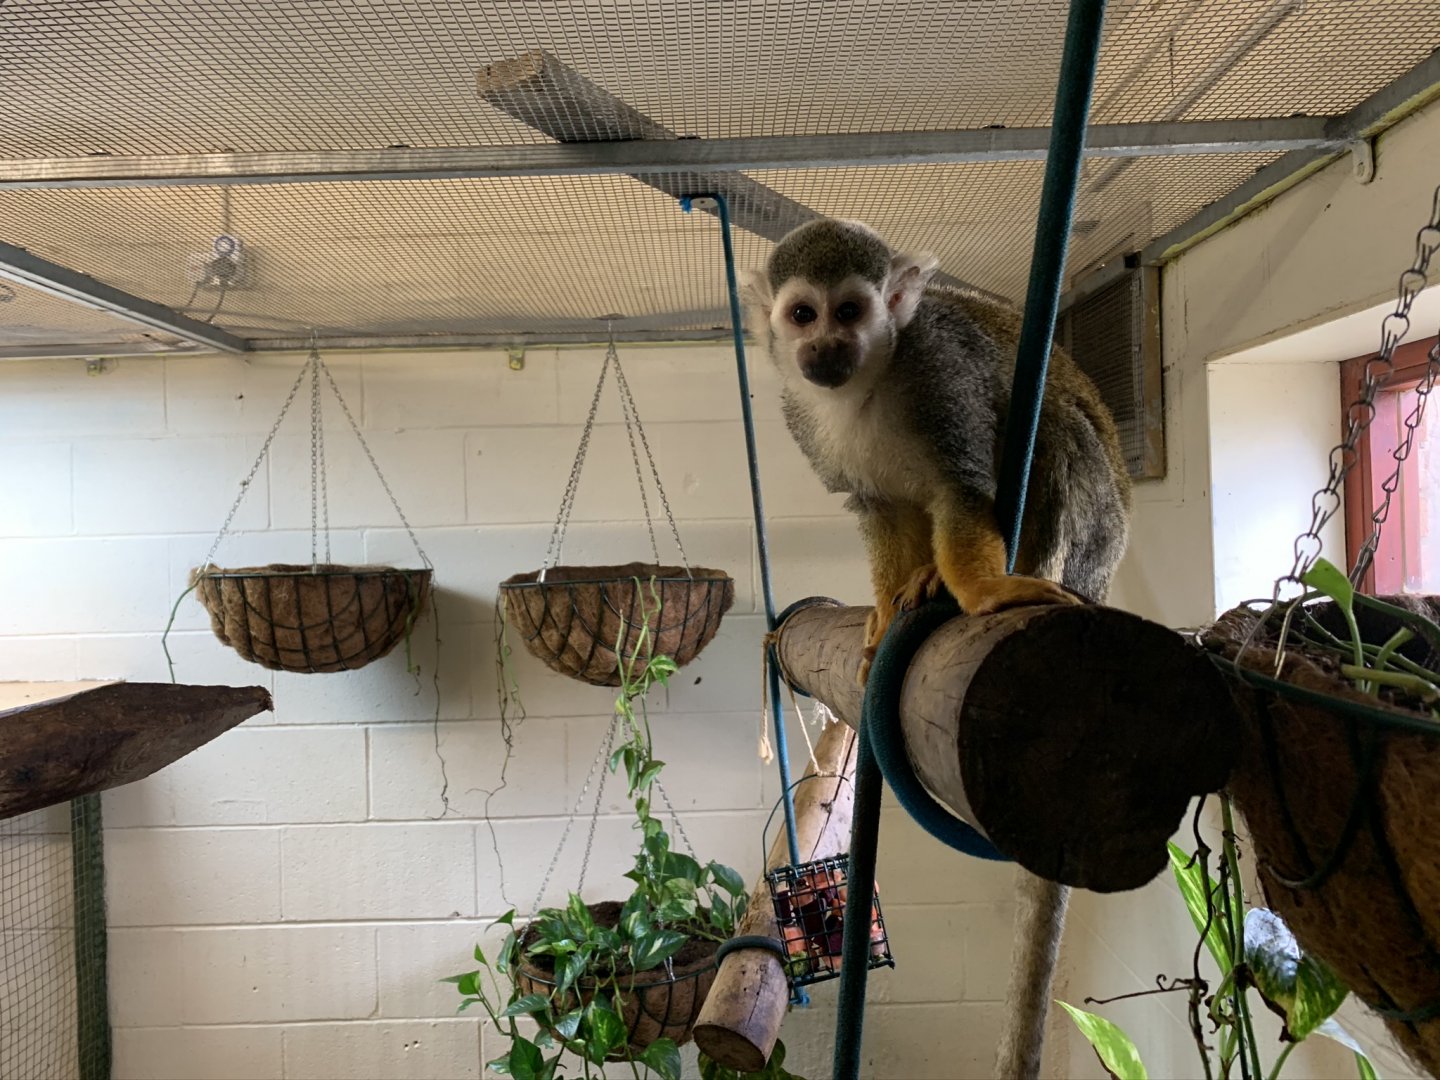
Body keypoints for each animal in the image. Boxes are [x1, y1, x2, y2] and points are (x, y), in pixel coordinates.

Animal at [742, 218, 1131, 1080]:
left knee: (1055, 431)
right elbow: (881, 509)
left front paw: (979, 590)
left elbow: (964, 489)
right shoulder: (803, 419)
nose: (826, 349)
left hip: (1095, 529)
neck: (868, 385)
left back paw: (990, 579)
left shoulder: (940, 375)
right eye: (802, 314)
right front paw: (890, 606)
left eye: (851, 310)